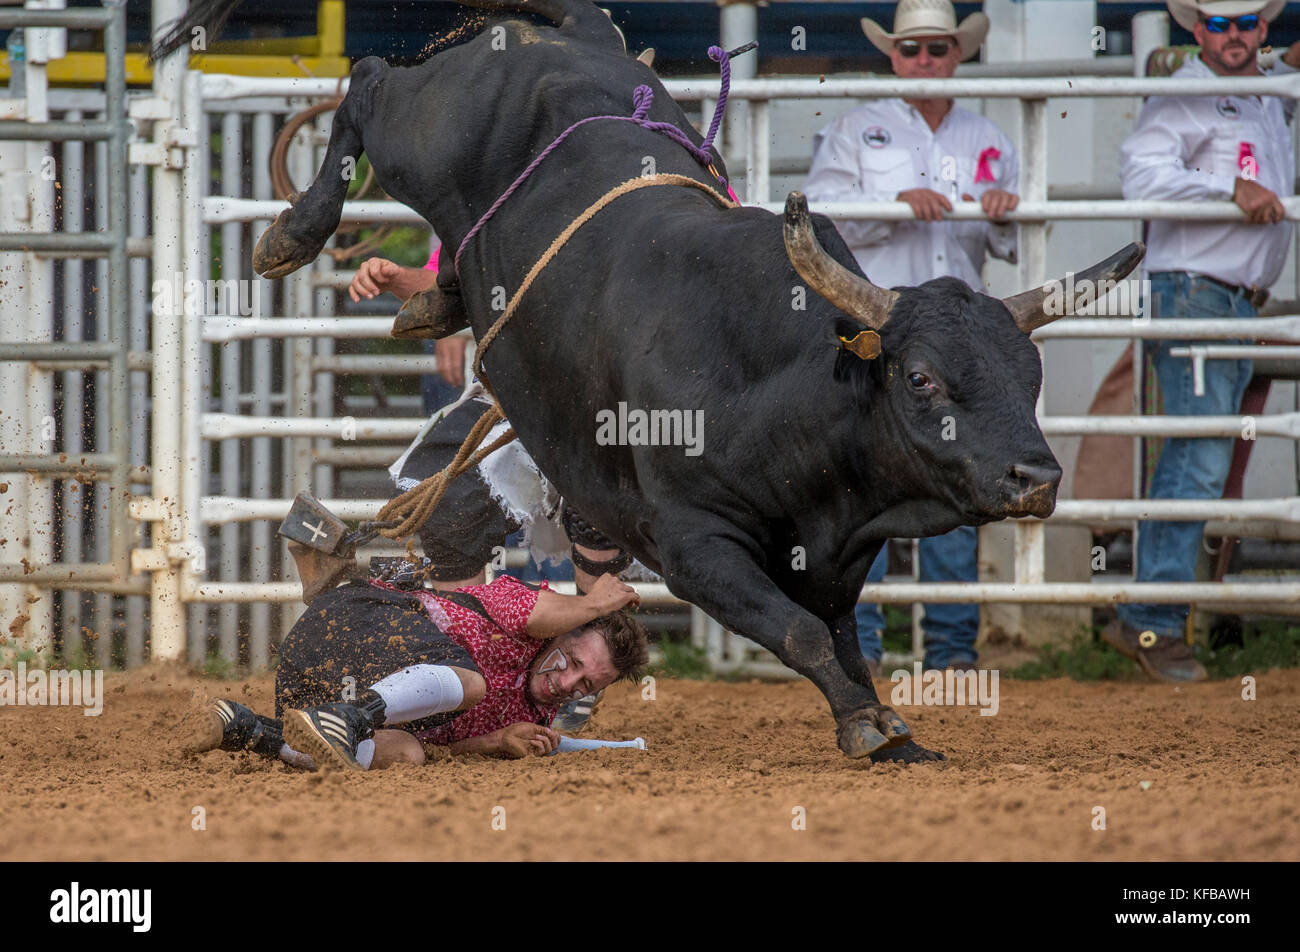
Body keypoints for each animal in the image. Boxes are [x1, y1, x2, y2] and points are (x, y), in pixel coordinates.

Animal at [205, 0, 1149, 759]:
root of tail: (571, 34)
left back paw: (431, 302)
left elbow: (840, 636)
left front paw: (890, 725)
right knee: (367, 82)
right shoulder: (696, 546)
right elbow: (802, 634)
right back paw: (294, 229)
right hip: (421, 132)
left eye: (1028, 375)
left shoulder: (835, 555)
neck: (782, 385)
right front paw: (862, 723)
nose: (1035, 477)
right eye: (920, 379)